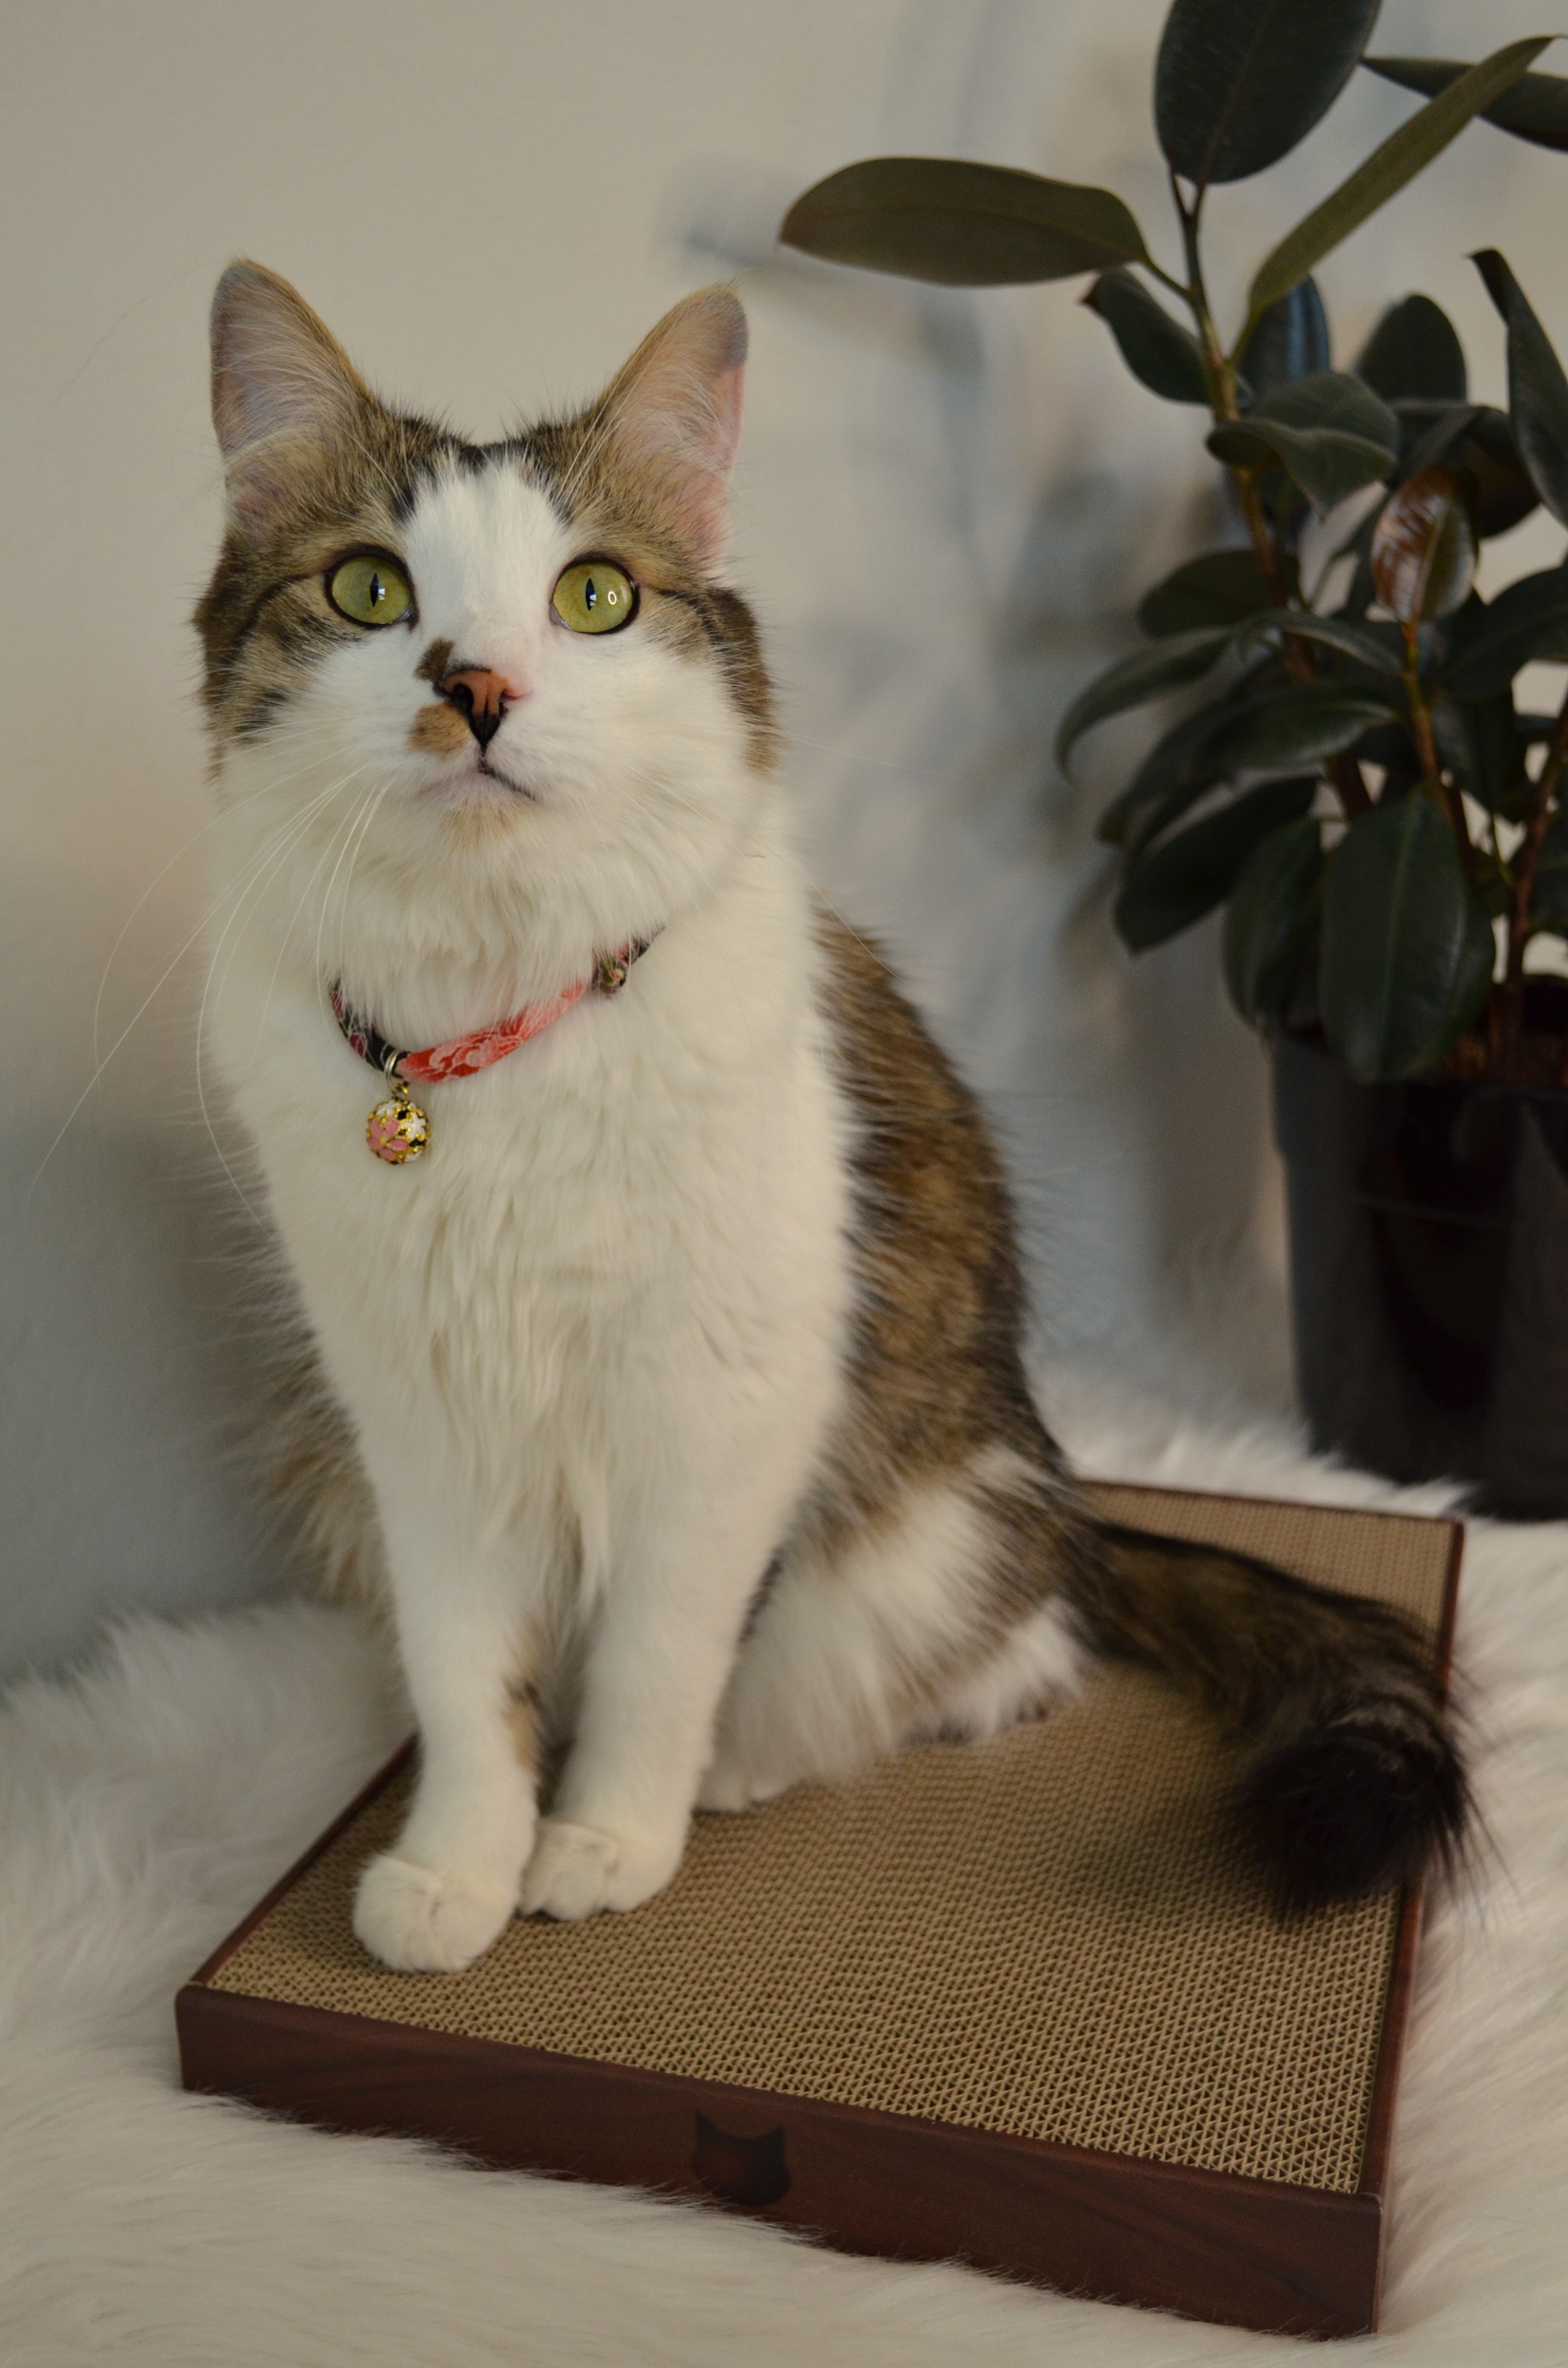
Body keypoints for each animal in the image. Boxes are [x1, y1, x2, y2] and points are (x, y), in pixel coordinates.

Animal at [200, 259, 1478, 1970]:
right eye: (367, 592)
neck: (497, 1023)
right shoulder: (417, 1426)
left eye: (593, 598)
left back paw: (744, 1765)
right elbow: (468, 1677)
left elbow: (656, 1662)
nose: (475, 687)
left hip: (932, 1532)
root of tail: (1063, 1495)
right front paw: (458, 1866)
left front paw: (606, 1837)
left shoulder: (726, 1412)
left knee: (1003, 1659)